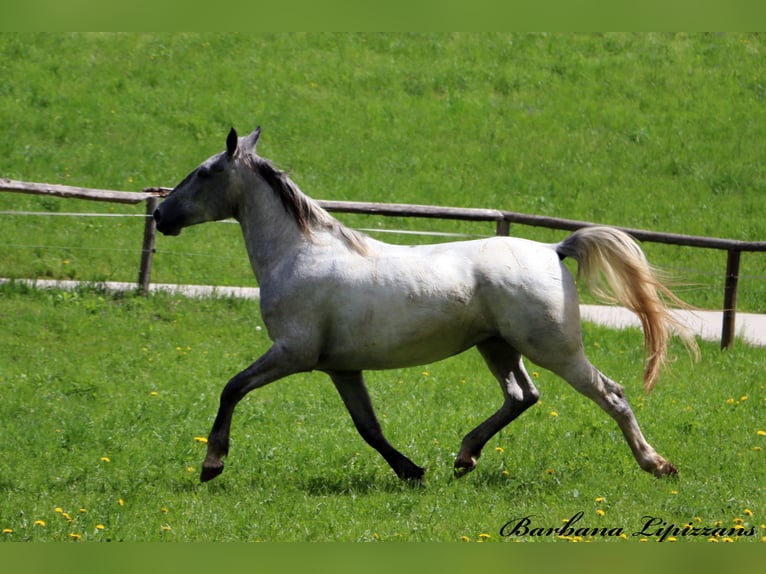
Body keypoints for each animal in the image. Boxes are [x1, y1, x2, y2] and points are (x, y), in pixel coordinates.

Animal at [153, 126, 698, 484]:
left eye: (202, 172)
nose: (161, 214)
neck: (299, 253)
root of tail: (553, 249)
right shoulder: (340, 368)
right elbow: (369, 428)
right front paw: (412, 471)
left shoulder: (293, 354)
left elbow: (231, 389)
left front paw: (212, 464)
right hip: (498, 346)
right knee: (522, 396)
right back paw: (464, 457)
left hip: (554, 349)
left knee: (612, 394)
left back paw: (658, 465)